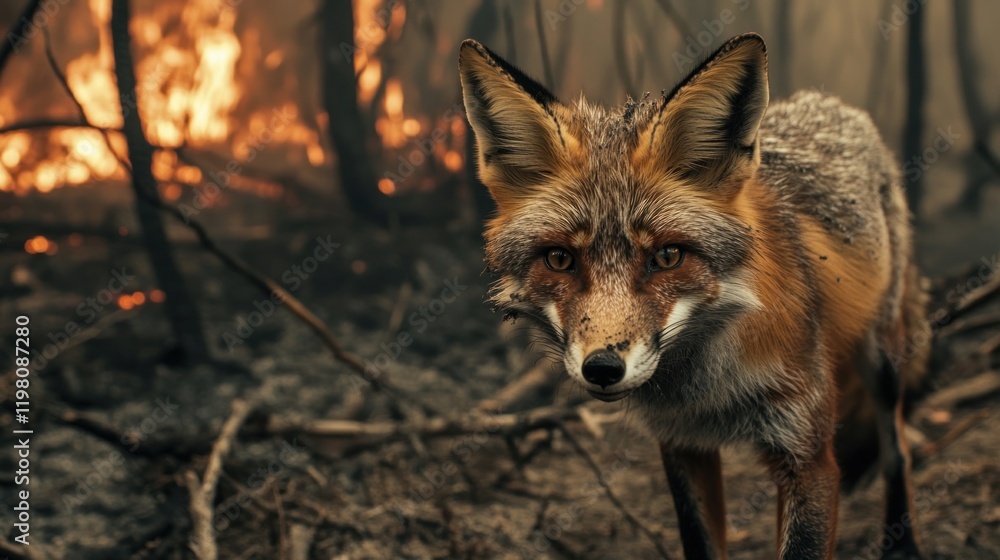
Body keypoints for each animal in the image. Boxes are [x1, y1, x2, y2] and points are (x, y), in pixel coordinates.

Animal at [458, 33, 930, 559]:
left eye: (667, 256)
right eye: (559, 259)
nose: (602, 368)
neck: (708, 392)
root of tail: (835, 105)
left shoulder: (807, 454)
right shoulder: (683, 444)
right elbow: (700, 542)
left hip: (883, 360)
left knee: (897, 450)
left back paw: (904, 542)